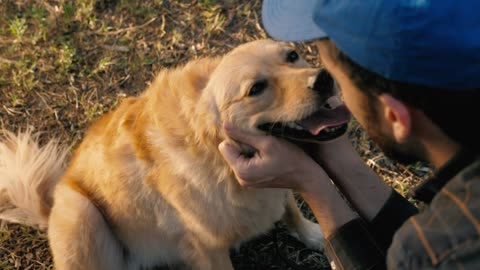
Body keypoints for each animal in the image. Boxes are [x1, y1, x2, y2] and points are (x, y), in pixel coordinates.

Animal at [1, 38, 350, 270]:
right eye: (256, 89)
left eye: (292, 55)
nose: (324, 79)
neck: (219, 157)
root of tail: (47, 210)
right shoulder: (208, 248)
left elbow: (290, 206)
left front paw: (315, 235)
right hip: (81, 211)